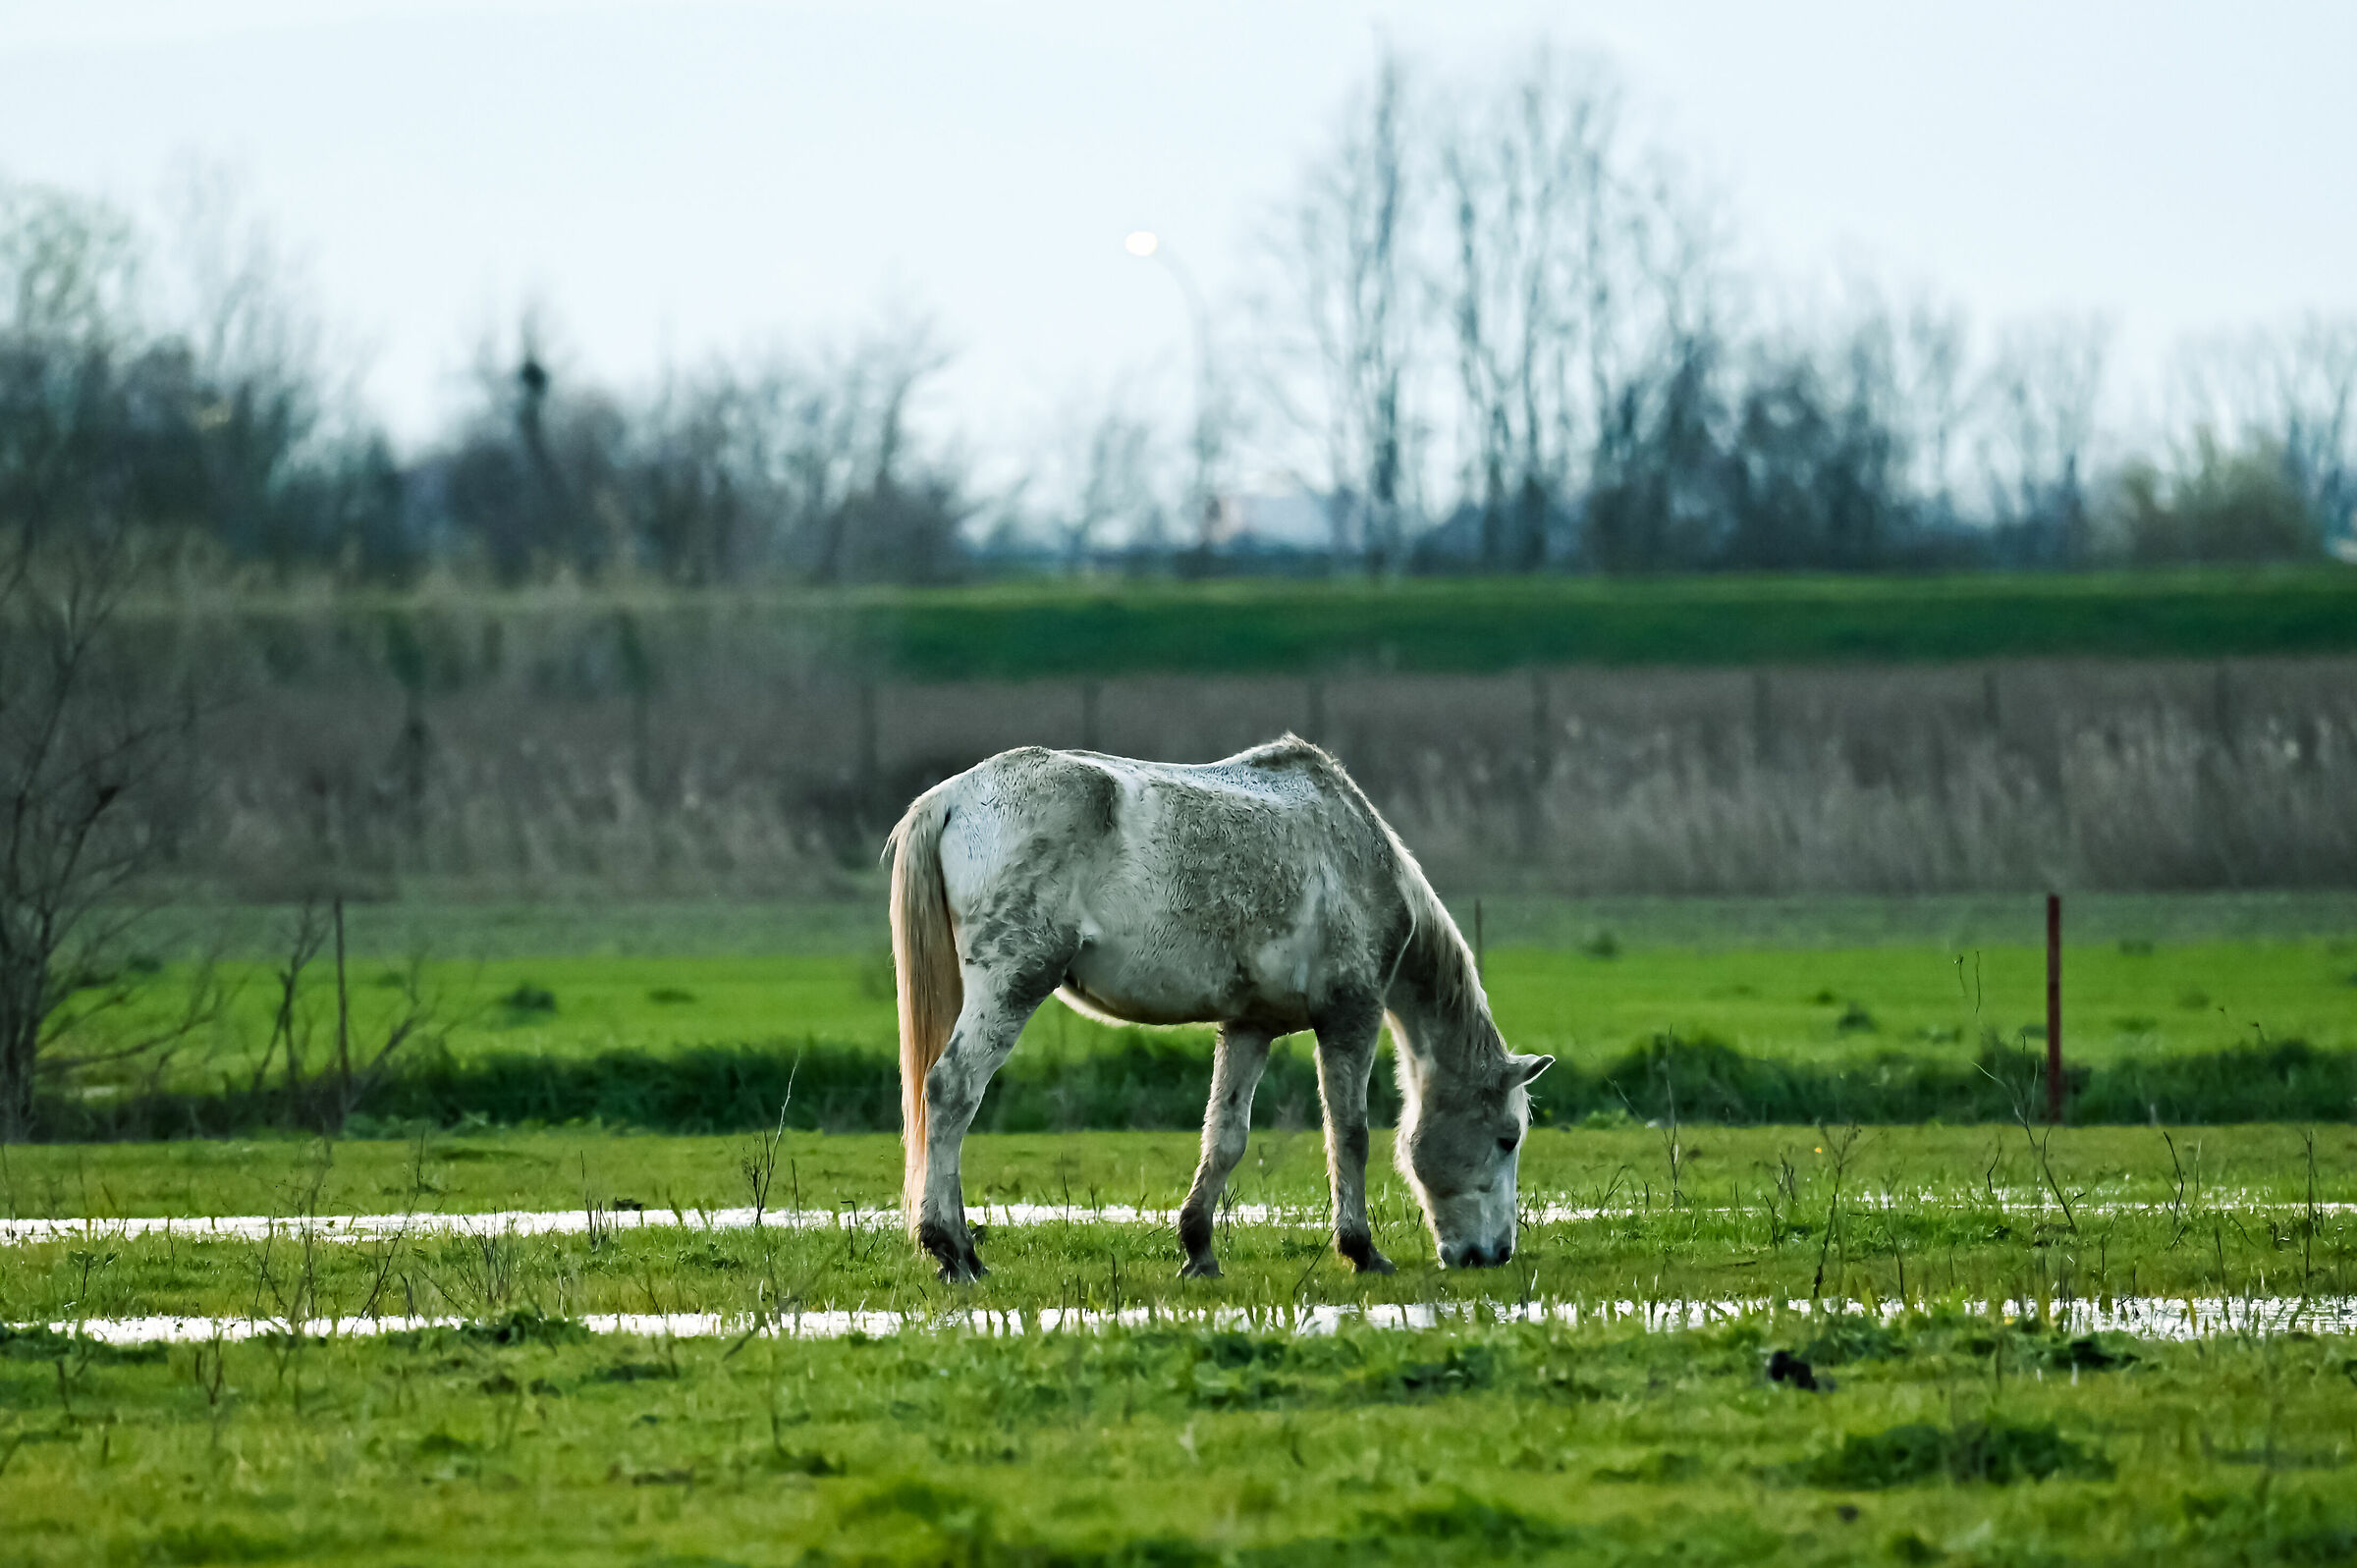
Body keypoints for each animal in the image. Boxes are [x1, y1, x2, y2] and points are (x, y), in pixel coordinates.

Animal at [886, 736, 1551, 1283]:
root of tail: (953, 796)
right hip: (1011, 985)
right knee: (950, 1092)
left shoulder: (1250, 1027)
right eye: (1507, 1138)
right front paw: (1362, 1250)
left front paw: (1198, 1250)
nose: (1494, 1255)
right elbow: (1350, 1134)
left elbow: (1225, 1137)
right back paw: (952, 1249)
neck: (1350, 852)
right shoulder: (1350, 1017)